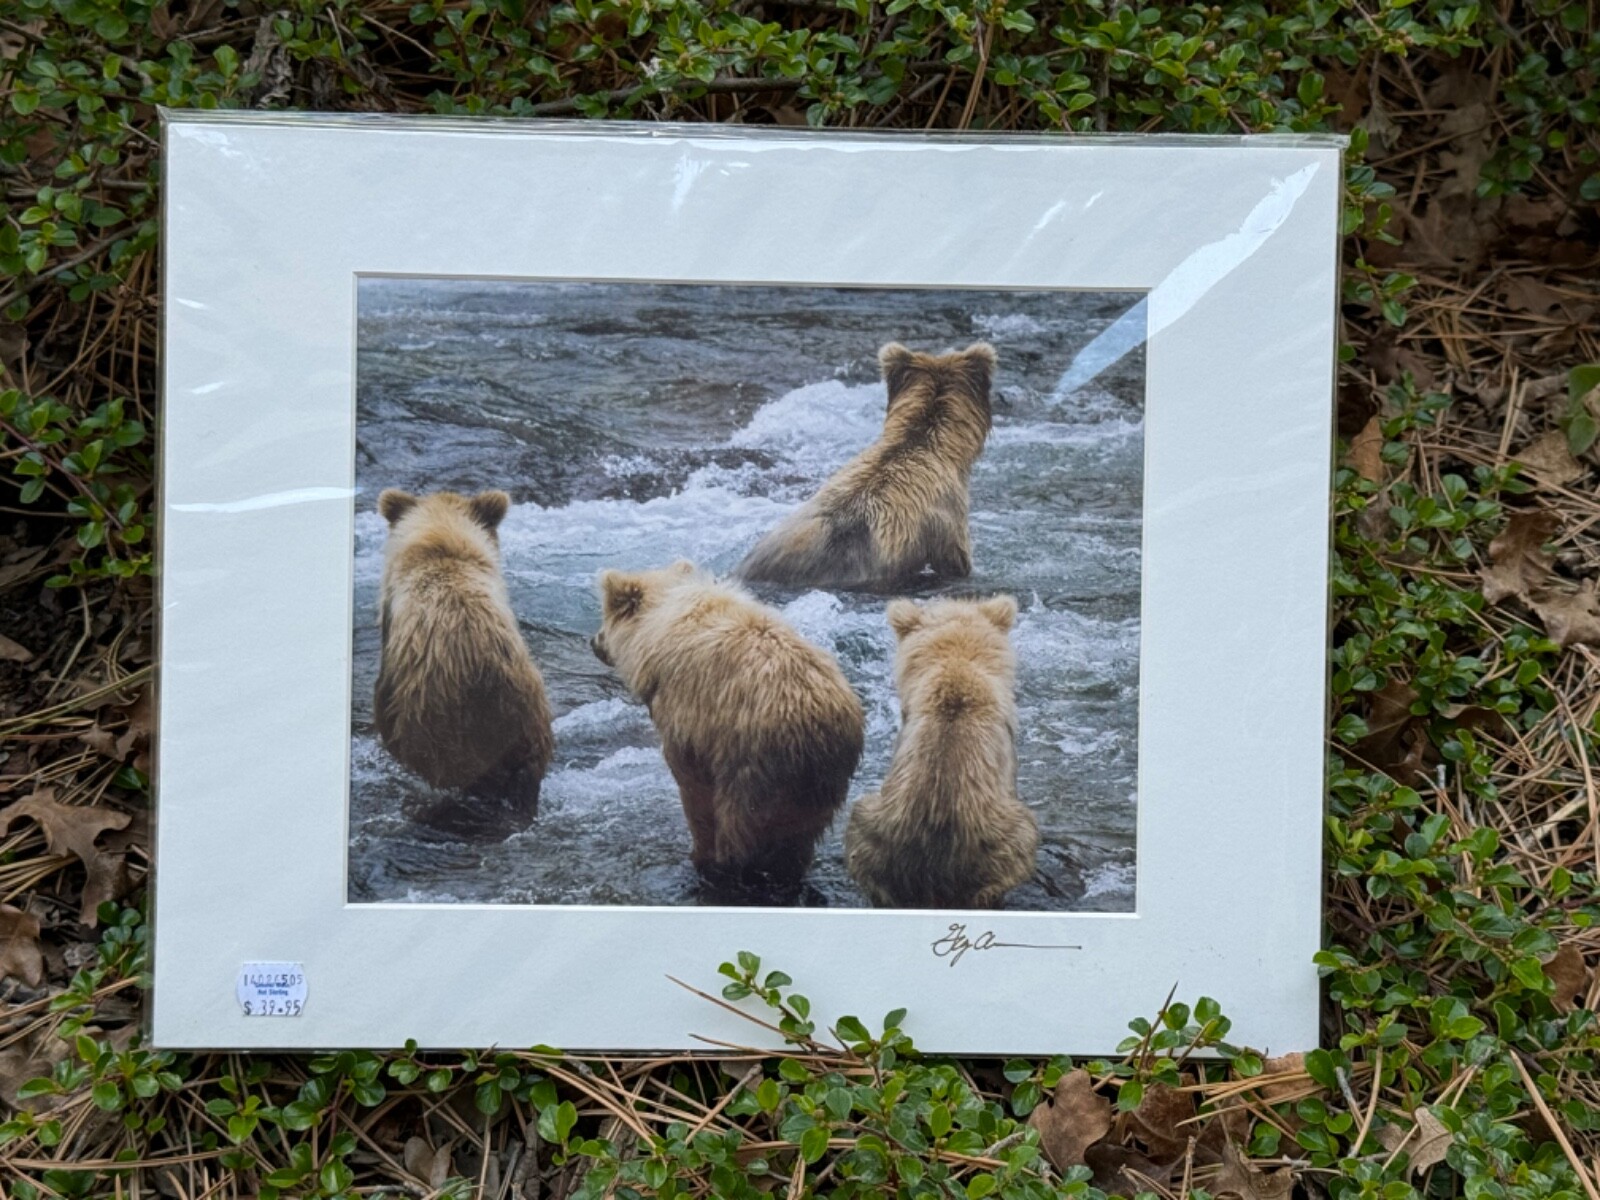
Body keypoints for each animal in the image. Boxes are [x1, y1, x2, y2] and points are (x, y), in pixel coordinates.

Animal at [590, 560, 865, 898]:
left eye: (603, 617)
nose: (593, 641)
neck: (660, 626)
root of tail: (816, 720)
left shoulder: (690, 718)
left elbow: (693, 786)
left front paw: (700, 849)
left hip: (754, 764)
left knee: (741, 828)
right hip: (821, 782)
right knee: (798, 838)